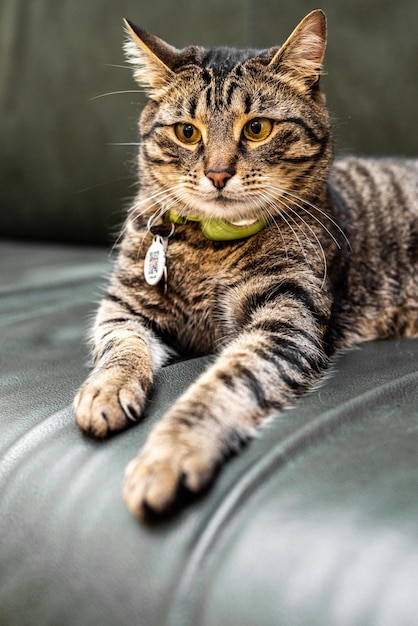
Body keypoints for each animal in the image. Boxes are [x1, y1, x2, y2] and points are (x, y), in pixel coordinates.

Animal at [73, 9, 418, 520]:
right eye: (187, 132)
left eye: (257, 129)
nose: (217, 174)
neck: (210, 247)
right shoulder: (123, 305)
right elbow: (121, 347)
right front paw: (105, 390)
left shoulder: (284, 323)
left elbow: (222, 385)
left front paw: (167, 456)